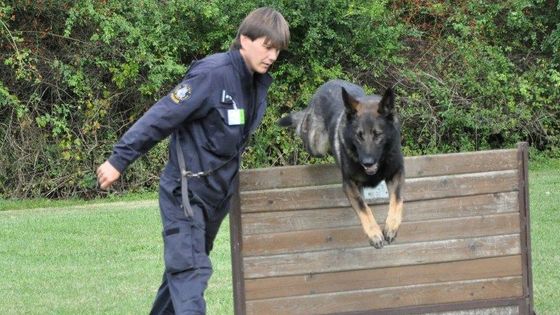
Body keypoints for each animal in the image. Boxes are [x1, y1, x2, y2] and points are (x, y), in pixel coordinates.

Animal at [278, 79, 402, 249]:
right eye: (358, 136)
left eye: (378, 135)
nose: (367, 162)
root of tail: (329, 83)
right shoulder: (349, 184)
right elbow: (363, 208)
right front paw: (374, 233)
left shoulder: (397, 173)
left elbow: (397, 200)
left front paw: (391, 227)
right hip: (316, 145)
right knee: (302, 128)